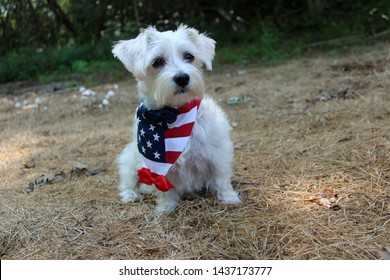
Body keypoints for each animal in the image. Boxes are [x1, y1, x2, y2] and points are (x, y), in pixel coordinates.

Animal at [112, 24, 241, 214]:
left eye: (189, 56)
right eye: (157, 62)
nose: (182, 78)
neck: (173, 114)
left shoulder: (218, 152)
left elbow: (221, 177)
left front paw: (229, 198)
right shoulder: (156, 165)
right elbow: (163, 188)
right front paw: (165, 208)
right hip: (129, 158)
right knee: (129, 181)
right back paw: (131, 194)